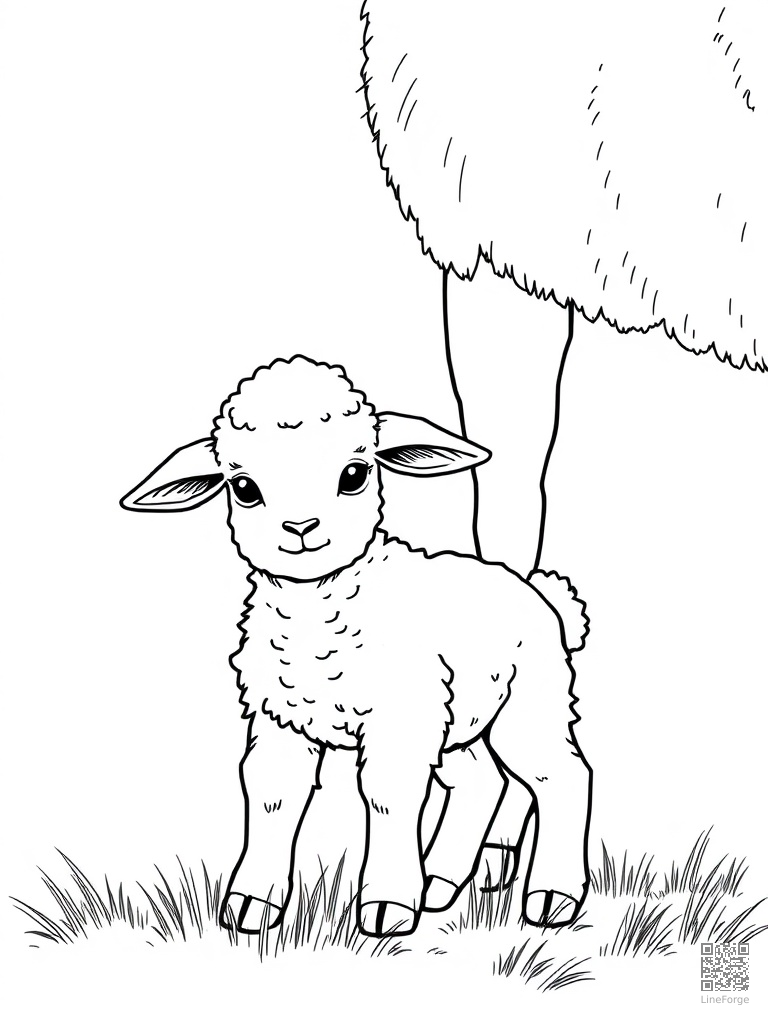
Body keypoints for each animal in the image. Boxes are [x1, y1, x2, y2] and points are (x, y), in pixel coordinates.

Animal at [120, 355, 592, 937]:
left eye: (354, 474)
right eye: (244, 487)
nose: (300, 528)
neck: (316, 614)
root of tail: (544, 595)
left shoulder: (398, 717)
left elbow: (388, 795)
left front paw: (387, 906)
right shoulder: (279, 714)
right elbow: (271, 793)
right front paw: (253, 904)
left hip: (530, 701)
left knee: (562, 775)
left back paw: (551, 895)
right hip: (457, 719)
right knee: (481, 782)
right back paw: (439, 882)